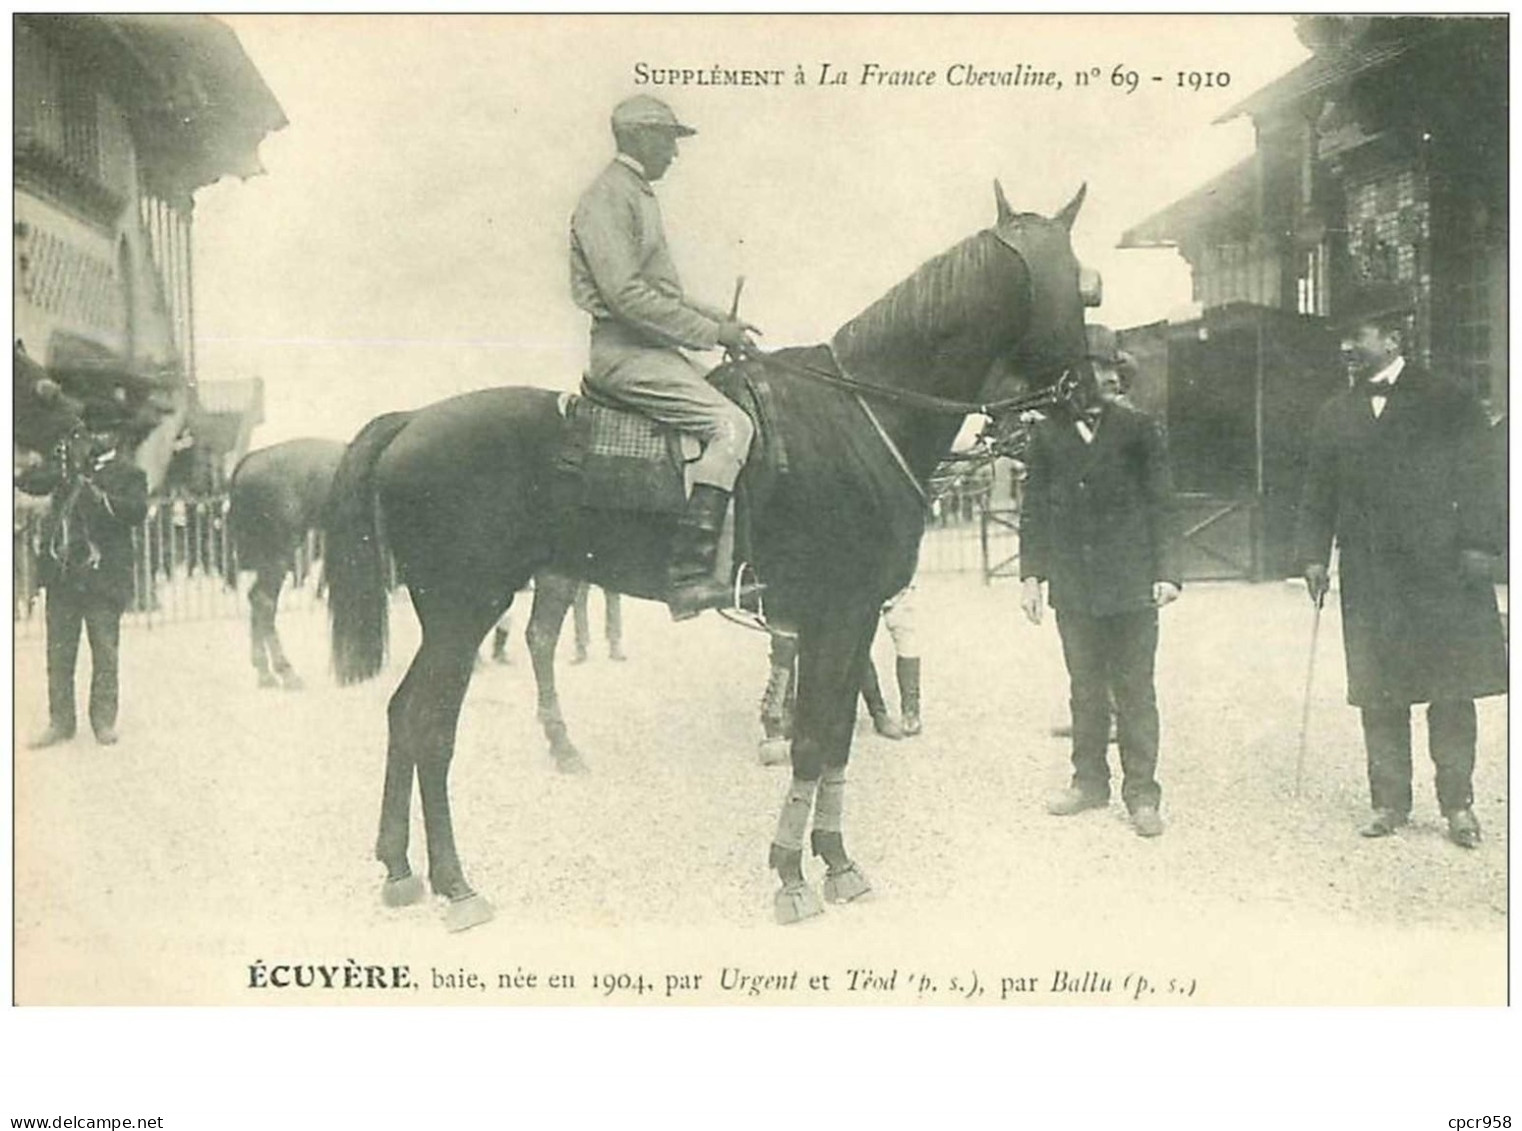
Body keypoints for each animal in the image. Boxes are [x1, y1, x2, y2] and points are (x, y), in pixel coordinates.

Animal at [223, 438, 347, 691]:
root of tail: (247, 462)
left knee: (258, 601)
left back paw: (265, 672)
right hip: (278, 554)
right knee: (263, 601)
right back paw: (284, 673)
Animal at [327, 183, 1101, 931]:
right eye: (1082, 287)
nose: (1091, 399)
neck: (858, 414)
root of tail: (411, 421)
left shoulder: (848, 619)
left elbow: (837, 739)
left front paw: (837, 861)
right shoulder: (834, 614)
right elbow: (811, 741)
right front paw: (792, 874)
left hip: (455, 619)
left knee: (402, 715)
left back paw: (400, 868)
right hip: (464, 615)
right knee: (430, 729)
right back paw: (457, 885)